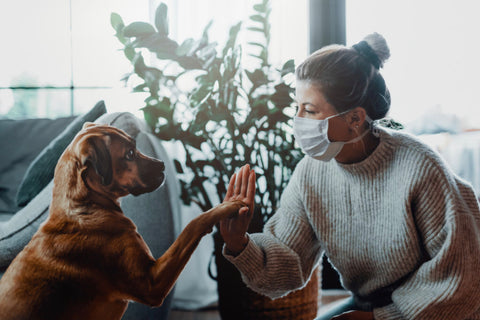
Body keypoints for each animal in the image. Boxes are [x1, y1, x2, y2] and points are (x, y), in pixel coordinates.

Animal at [0, 123, 244, 320]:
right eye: (129, 154)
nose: (162, 165)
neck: (84, 206)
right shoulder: (151, 283)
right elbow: (193, 225)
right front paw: (224, 206)